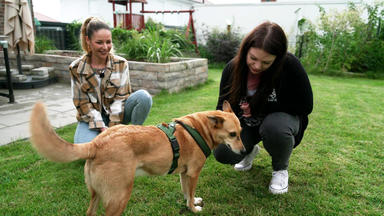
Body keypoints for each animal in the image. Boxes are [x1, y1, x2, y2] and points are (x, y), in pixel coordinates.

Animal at [30, 100, 246, 215]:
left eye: (241, 132)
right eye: (232, 134)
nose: (244, 151)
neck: (200, 128)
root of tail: (97, 143)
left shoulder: (184, 174)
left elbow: (187, 193)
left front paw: (191, 201)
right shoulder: (194, 173)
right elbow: (190, 196)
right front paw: (193, 209)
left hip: (96, 195)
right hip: (119, 197)